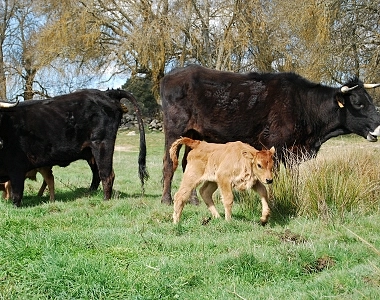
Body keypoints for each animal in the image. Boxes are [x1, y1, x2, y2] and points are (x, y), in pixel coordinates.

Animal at [0, 88, 148, 206]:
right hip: (90, 152)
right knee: (96, 174)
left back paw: (105, 200)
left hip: (102, 144)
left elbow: (16, 194)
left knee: (106, 174)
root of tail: (106, 93)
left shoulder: (17, 168)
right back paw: (88, 194)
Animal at [160, 64, 380, 205]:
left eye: (370, 100)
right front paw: (273, 200)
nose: (378, 127)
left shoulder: (292, 151)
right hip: (174, 130)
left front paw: (293, 196)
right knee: (170, 164)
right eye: (358, 103)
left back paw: (193, 200)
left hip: (194, 134)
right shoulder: (274, 144)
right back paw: (166, 199)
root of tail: (172, 75)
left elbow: (293, 177)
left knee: (189, 164)